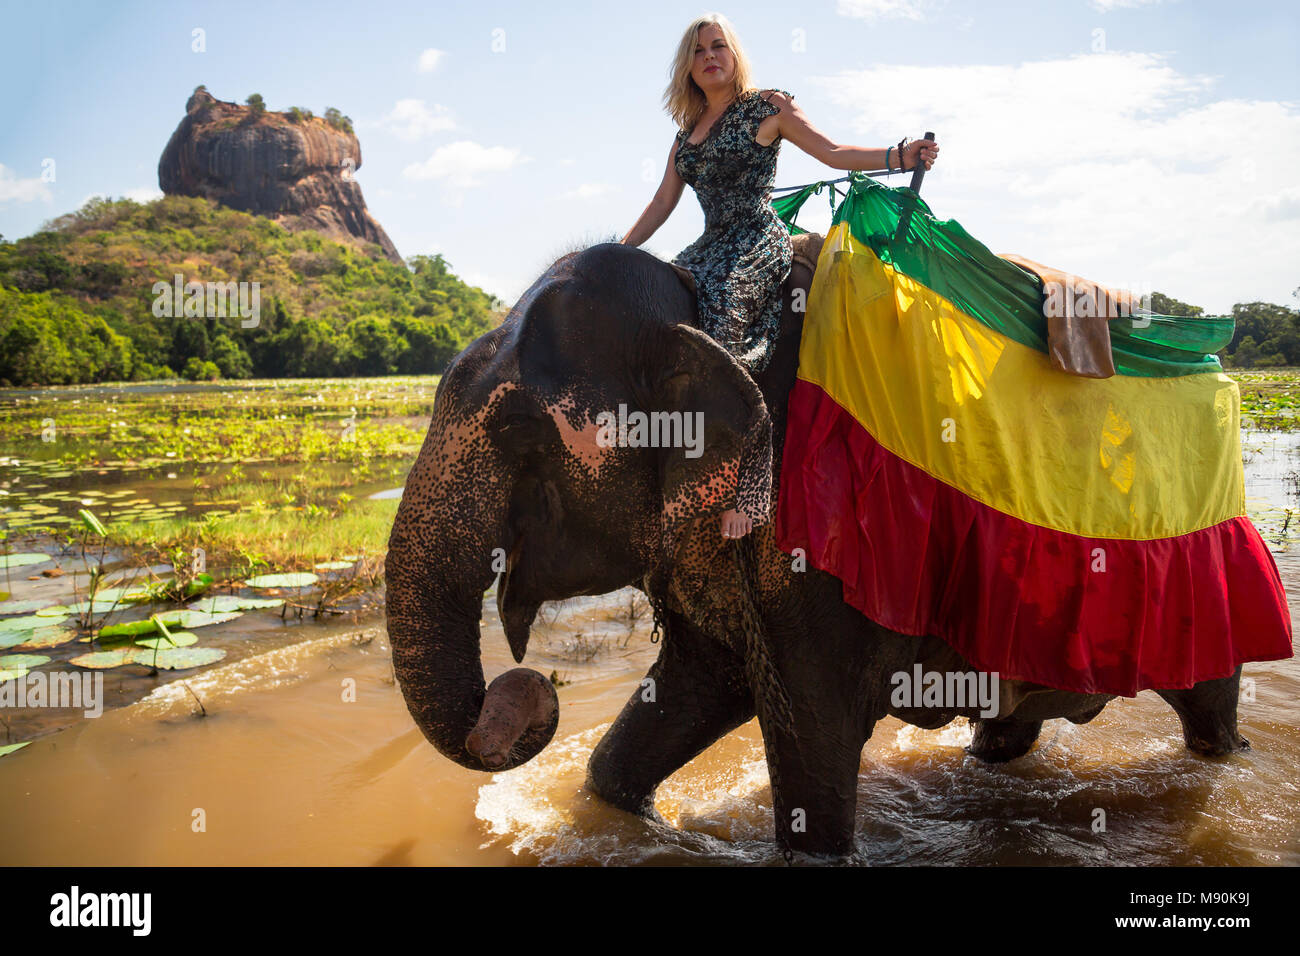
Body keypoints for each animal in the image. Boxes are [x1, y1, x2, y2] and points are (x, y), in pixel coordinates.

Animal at [382, 231, 1248, 858]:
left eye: (517, 427)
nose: (530, 686)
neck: (703, 307)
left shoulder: (822, 536)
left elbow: (812, 740)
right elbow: (677, 702)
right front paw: (621, 815)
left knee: (1210, 713)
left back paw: (1225, 763)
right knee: (1009, 730)